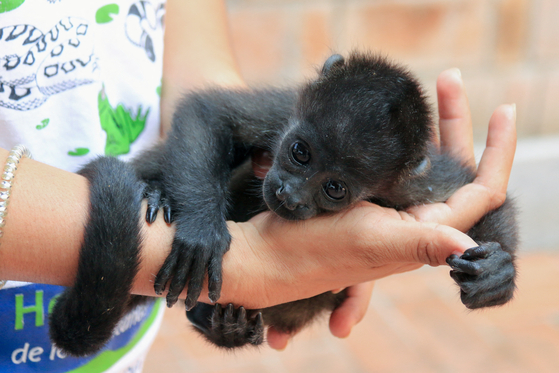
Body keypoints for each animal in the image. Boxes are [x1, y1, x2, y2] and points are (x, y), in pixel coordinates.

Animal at [48, 53, 516, 354]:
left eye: (335, 189)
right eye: (300, 152)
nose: (289, 194)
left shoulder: (413, 182)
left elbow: (482, 195)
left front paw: (498, 272)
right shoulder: (283, 111)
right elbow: (208, 112)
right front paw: (201, 230)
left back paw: (226, 328)